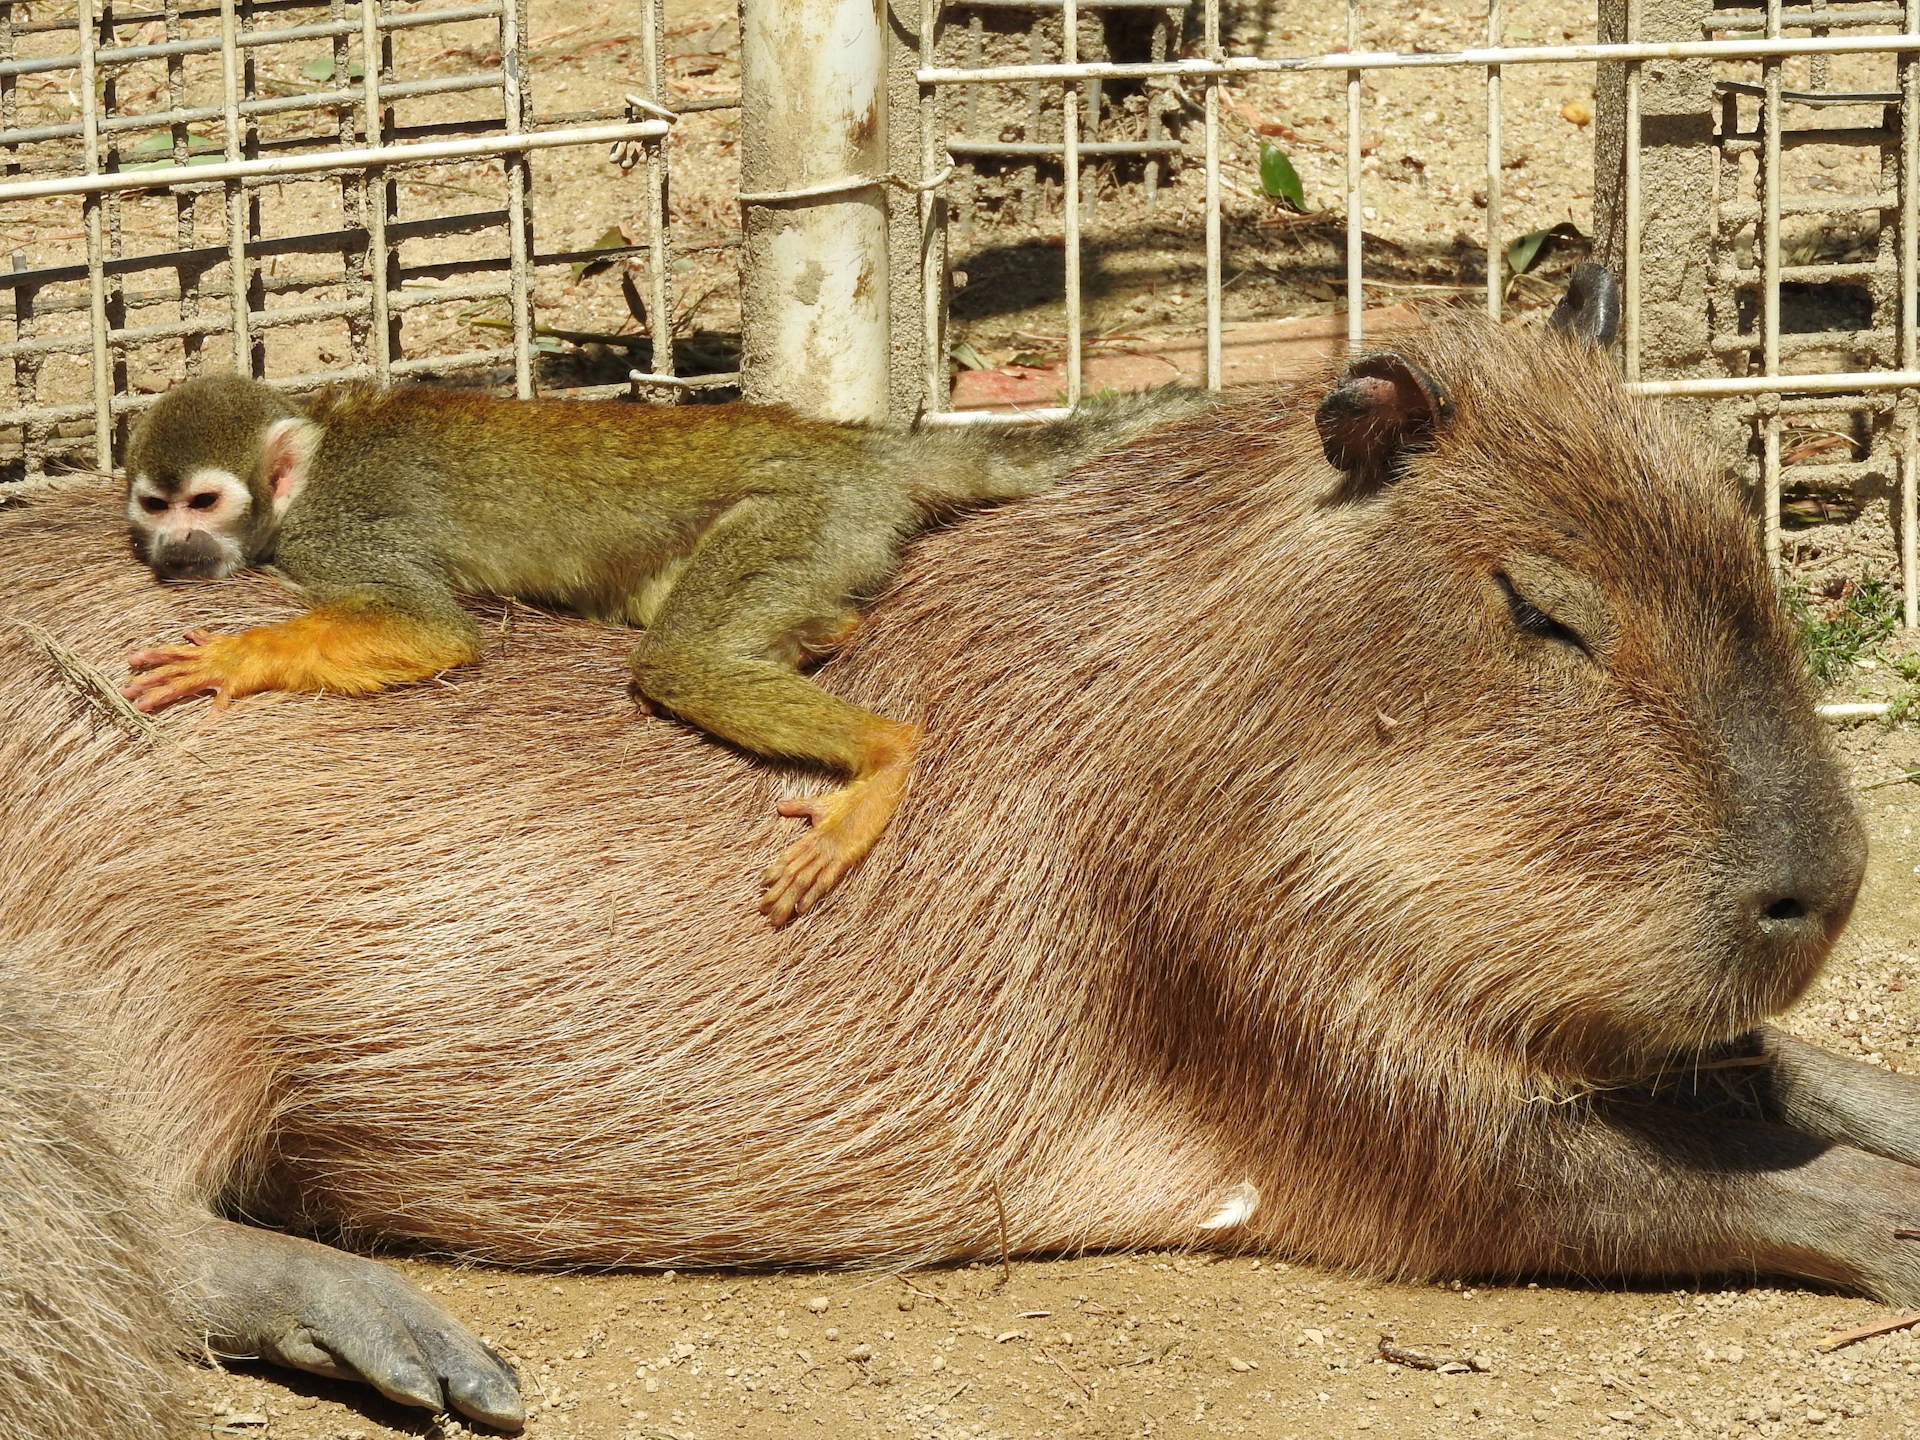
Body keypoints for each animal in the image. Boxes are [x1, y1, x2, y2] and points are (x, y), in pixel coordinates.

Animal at [120, 379, 1205, 925]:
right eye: (154, 504)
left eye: (203, 502)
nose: (173, 551)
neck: (306, 473)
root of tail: (866, 446)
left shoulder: (336, 534)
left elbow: (432, 627)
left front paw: (235, 658)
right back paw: (828, 634)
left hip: (807, 514)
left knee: (679, 660)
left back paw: (884, 755)